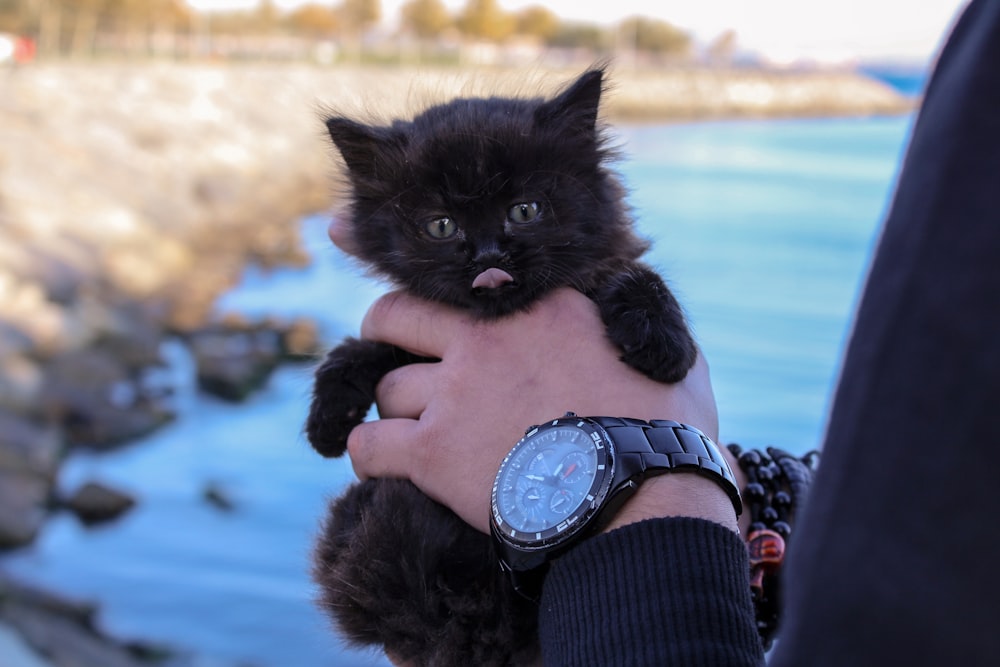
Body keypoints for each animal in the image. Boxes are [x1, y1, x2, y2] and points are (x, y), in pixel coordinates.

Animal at [310, 69, 696, 667]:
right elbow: (364, 349)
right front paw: (330, 417)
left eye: (525, 211)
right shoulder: (408, 343)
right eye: (441, 226)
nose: (488, 255)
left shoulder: (606, 264)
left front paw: (663, 341)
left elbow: (629, 272)